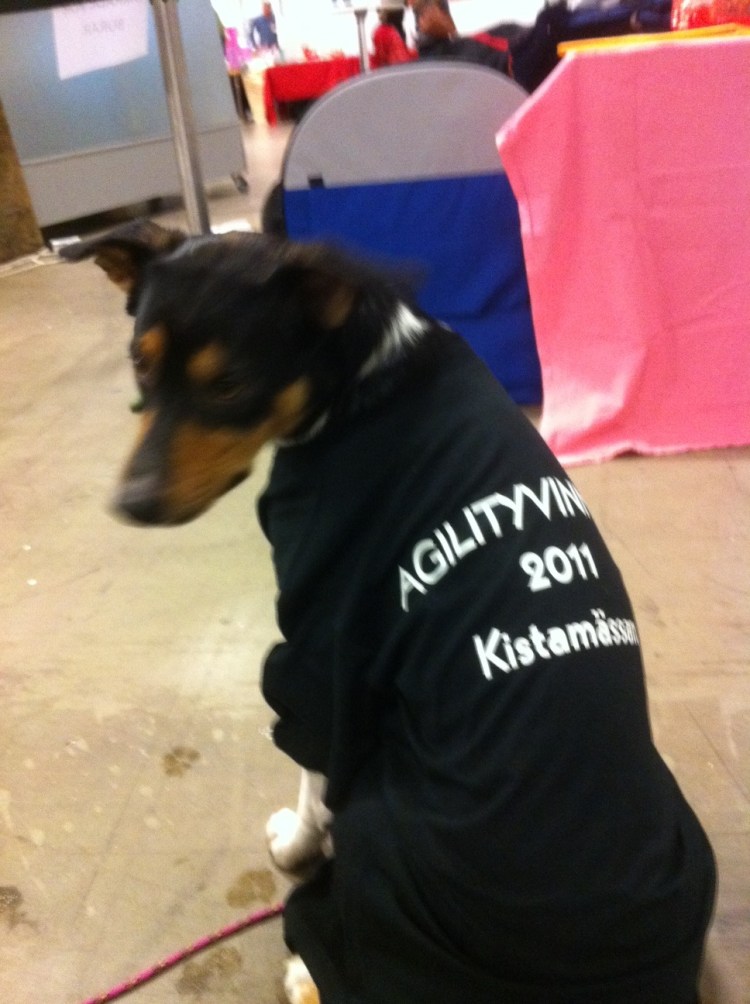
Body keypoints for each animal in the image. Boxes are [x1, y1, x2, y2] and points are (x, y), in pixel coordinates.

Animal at [64, 220, 716, 1004]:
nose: (130, 504)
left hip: (380, 821)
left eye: (230, 384)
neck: (354, 384)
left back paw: (304, 970)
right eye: (140, 364)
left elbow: (311, 779)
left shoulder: (319, 653)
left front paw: (293, 846)